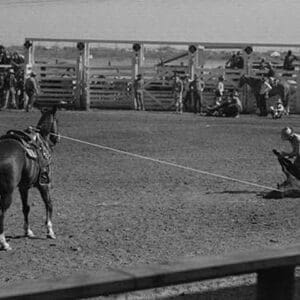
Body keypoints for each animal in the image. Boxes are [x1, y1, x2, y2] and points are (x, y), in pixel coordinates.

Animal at [0, 106, 59, 250]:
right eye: (57, 121)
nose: (57, 138)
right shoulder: (44, 184)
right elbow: (49, 204)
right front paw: (50, 231)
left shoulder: (23, 187)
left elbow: (26, 207)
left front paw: (28, 231)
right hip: (7, 193)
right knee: (1, 213)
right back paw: (4, 243)